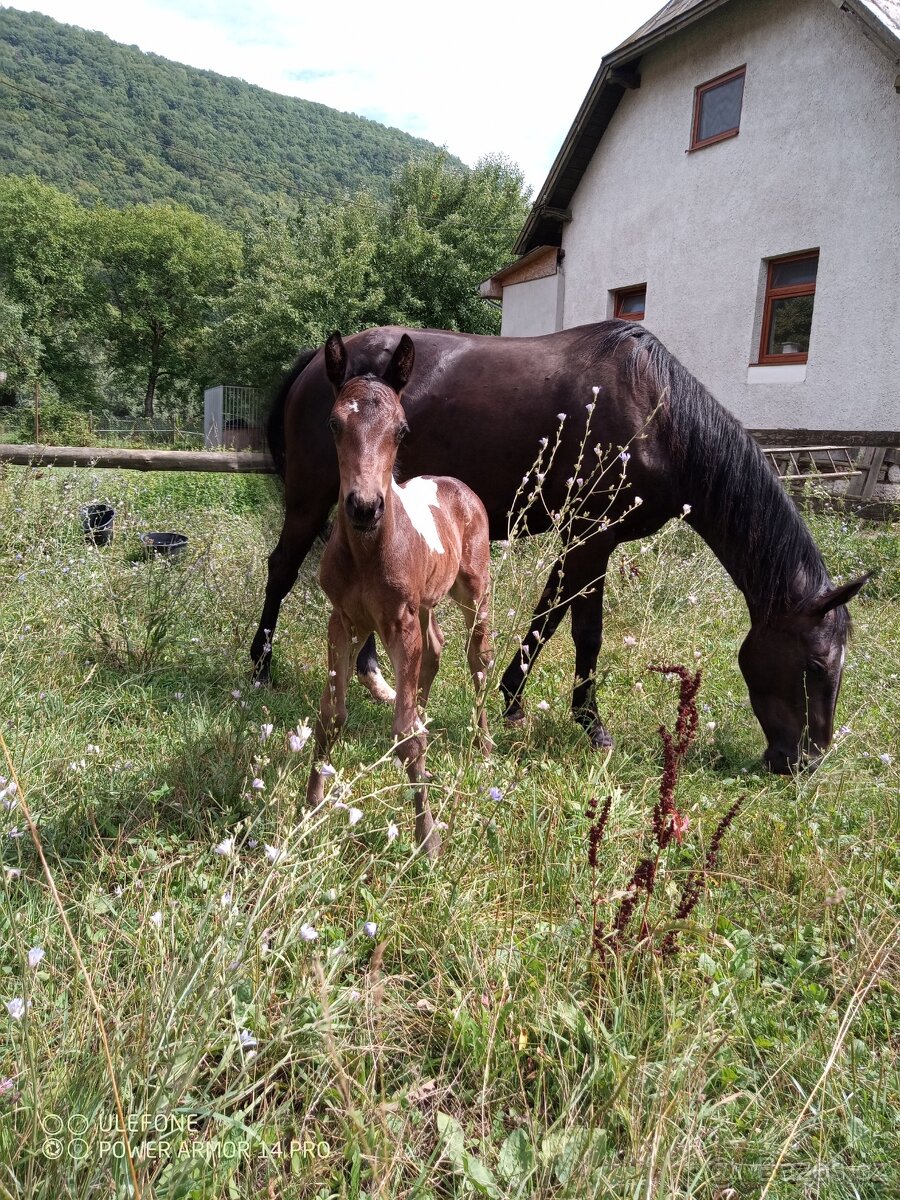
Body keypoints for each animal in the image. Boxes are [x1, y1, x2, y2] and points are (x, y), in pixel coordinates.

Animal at [253, 320, 868, 774]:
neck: (657, 413)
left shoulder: (585, 540)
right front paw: (588, 721)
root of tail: (318, 361)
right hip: (312, 500)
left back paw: (374, 676)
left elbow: (550, 617)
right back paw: (259, 667)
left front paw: (515, 700)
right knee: (281, 568)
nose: (803, 762)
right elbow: (580, 630)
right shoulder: (592, 536)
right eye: (815, 665)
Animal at [305, 331, 493, 856]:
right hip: (425, 605)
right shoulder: (343, 621)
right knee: (435, 650)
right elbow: (331, 715)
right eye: (333, 423)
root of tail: (457, 486)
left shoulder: (399, 621)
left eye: (402, 430)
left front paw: (427, 838)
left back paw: (484, 743)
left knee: (477, 658)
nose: (364, 507)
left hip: (473, 592)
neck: (368, 552)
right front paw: (311, 807)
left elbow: (407, 735)